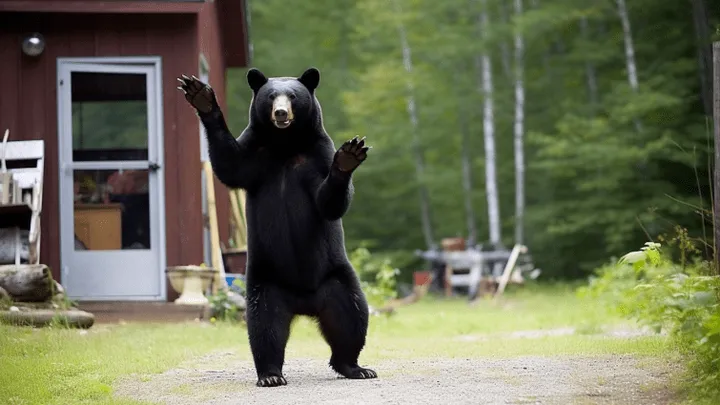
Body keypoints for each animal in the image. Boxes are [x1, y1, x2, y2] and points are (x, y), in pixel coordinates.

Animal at [176, 67, 377, 387]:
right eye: (271, 96)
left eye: (292, 96)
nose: (281, 113)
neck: (286, 145)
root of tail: (304, 302)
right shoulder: (255, 151)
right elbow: (230, 166)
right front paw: (201, 96)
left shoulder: (318, 154)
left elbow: (329, 203)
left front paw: (348, 157)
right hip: (265, 283)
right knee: (264, 327)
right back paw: (270, 374)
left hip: (336, 278)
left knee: (352, 315)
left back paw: (355, 366)